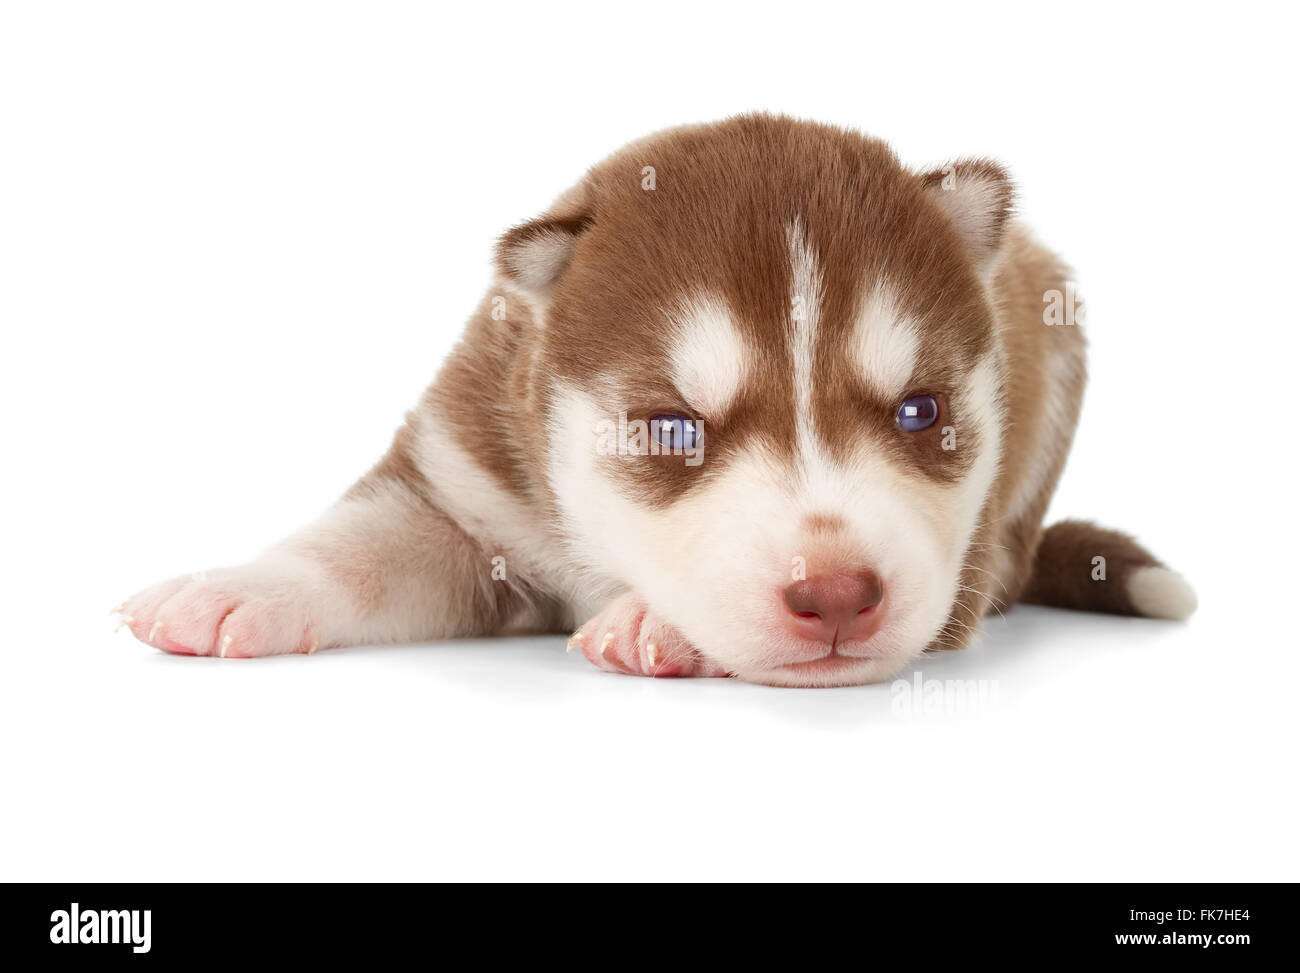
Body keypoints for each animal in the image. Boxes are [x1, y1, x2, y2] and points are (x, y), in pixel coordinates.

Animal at [119, 113, 1196, 686]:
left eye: (920, 413)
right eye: (673, 429)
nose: (836, 594)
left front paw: (664, 622)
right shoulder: (467, 476)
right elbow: (364, 541)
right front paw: (234, 587)